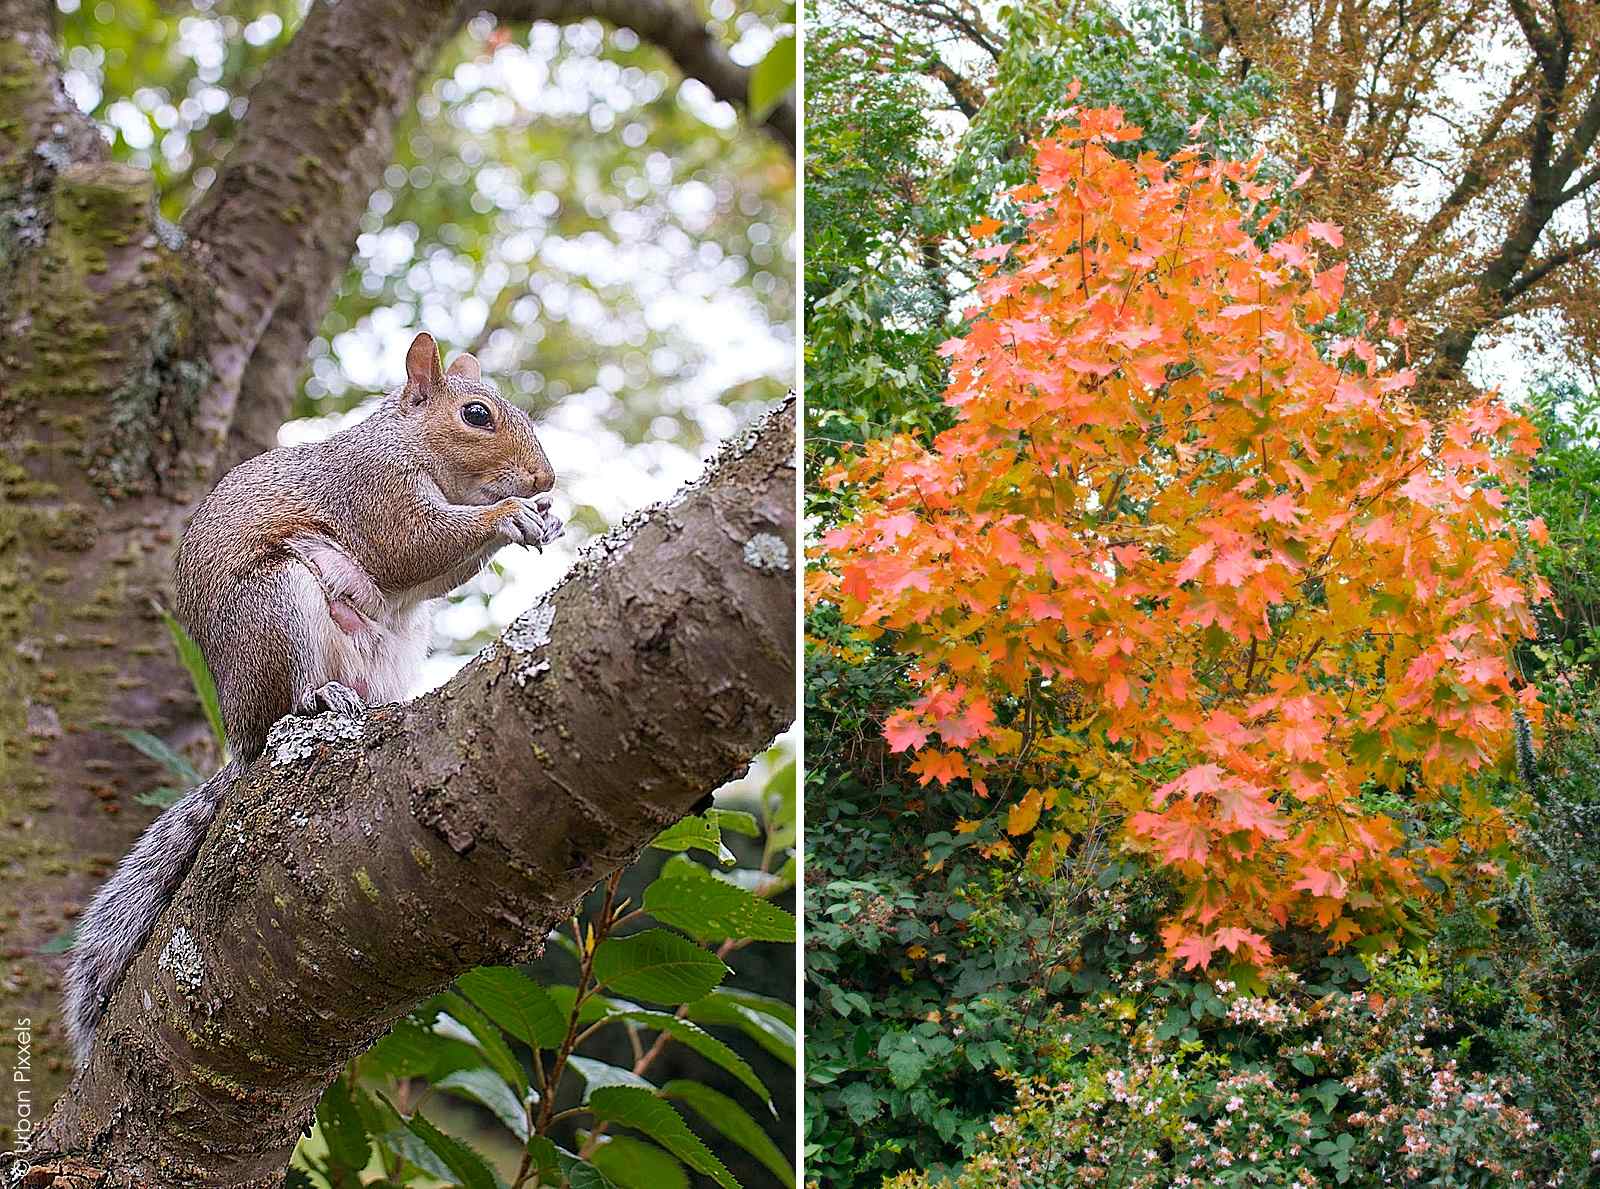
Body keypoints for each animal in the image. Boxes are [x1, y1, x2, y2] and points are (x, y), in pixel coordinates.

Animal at [64, 331, 563, 1064]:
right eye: (477, 415)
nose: (545, 481)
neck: (408, 444)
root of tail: (243, 737)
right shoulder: (373, 495)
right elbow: (412, 547)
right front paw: (511, 514)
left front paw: (543, 518)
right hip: (279, 603)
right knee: (293, 698)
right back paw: (320, 697)